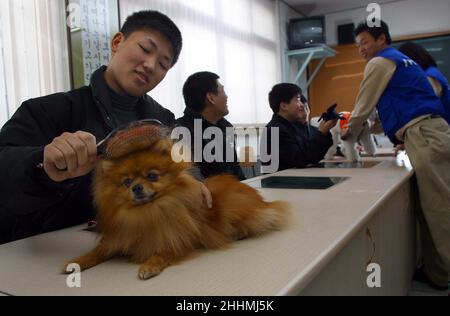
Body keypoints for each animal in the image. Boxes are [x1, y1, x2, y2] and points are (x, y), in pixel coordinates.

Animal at [62, 131, 288, 278]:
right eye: (126, 182)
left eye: (152, 176)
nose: (136, 187)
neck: (147, 212)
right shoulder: (118, 238)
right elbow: (97, 252)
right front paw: (77, 262)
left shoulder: (180, 239)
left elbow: (164, 251)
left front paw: (149, 265)